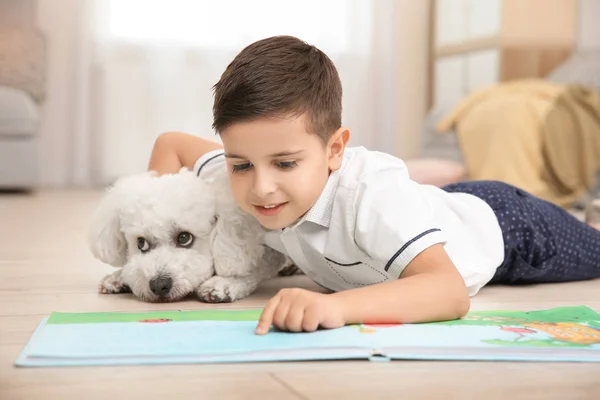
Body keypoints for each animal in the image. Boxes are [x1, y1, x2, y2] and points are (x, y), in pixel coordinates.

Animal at [89, 168, 296, 304]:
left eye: (184, 238)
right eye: (141, 243)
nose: (159, 285)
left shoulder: (266, 254)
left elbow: (250, 270)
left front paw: (223, 283)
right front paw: (118, 277)